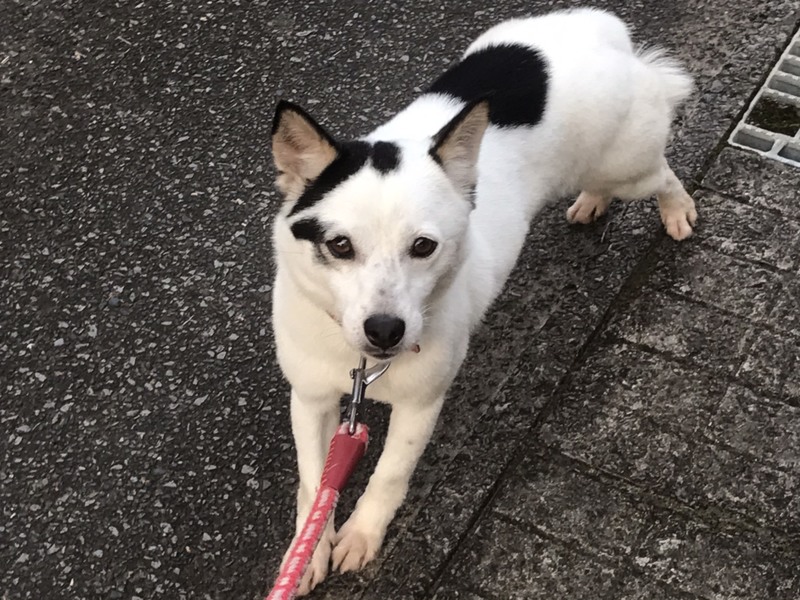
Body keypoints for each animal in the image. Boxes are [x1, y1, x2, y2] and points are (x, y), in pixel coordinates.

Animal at [270, 7, 694, 594]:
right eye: (339, 246)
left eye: (423, 247)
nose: (386, 330)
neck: (358, 364)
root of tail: (601, 28)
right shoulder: (311, 397)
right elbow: (315, 482)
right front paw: (306, 551)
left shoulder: (421, 403)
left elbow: (390, 473)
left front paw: (361, 534)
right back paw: (592, 202)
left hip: (627, 167)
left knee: (664, 175)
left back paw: (677, 211)